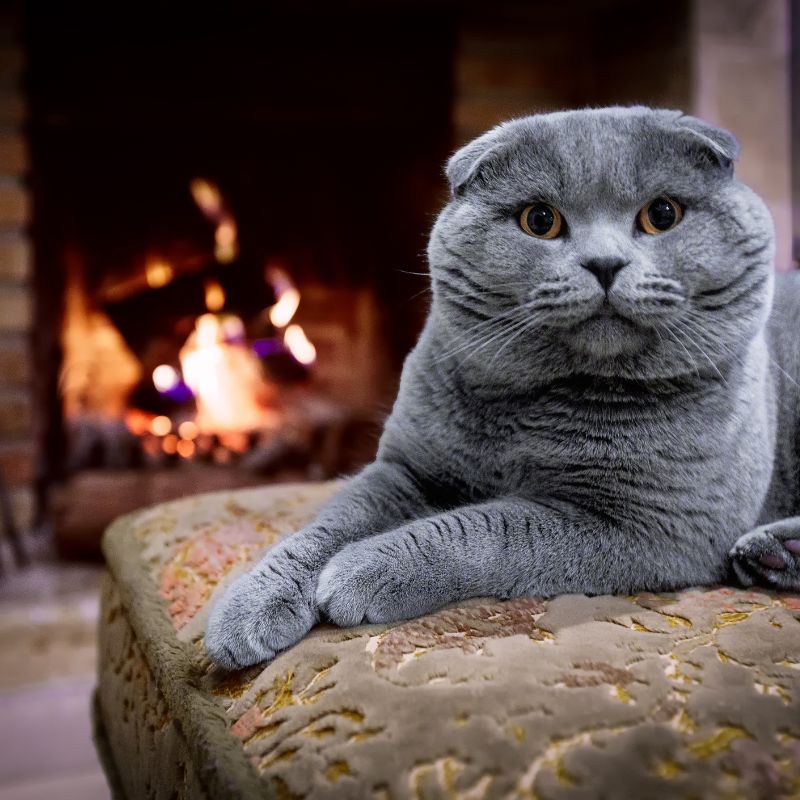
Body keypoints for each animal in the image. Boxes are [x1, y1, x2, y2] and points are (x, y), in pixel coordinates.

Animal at [205, 106, 800, 668]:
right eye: (539, 220)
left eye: (662, 215)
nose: (604, 263)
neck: (539, 411)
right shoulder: (406, 469)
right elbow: (328, 524)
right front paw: (246, 608)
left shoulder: (653, 524)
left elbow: (491, 526)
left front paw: (361, 570)